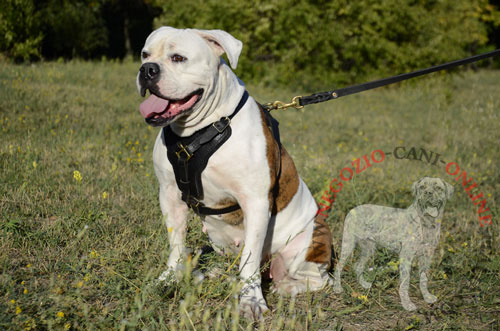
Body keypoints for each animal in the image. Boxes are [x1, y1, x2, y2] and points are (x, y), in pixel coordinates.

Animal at [136, 26, 332, 320]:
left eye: (178, 58)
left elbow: (249, 259)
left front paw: (251, 301)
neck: (200, 132)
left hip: (308, 243)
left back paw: (288, 287)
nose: (147, 69)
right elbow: (176, 244)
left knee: (319, 280)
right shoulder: (169, 195)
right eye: (145, 54)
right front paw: (169, 278)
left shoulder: (256, 202)